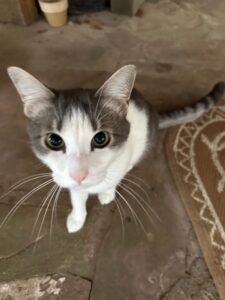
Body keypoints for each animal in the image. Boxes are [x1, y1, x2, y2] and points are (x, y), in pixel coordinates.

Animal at [7, 65, 225, 233]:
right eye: (54, 140)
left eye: (101, 138)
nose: (79, 175)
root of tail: (154, 112)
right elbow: (77, 197)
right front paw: (77, 218)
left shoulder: (125, 155)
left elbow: (113, 179)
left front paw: (107, 193)